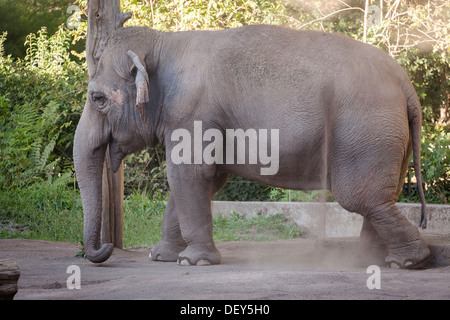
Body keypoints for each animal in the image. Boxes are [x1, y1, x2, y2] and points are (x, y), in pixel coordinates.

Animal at [72, 25, 430, 268]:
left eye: (98, 98)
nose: (104, 250)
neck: (163, 41)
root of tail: (406, 83)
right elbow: (202, 181)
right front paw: (161, 257)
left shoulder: (193, 115)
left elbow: (188, 176)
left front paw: (194, 262)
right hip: (386, 139)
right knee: (381, 197)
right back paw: (371, 258)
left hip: (366, 133)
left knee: (362, 197)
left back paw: (408, 261)